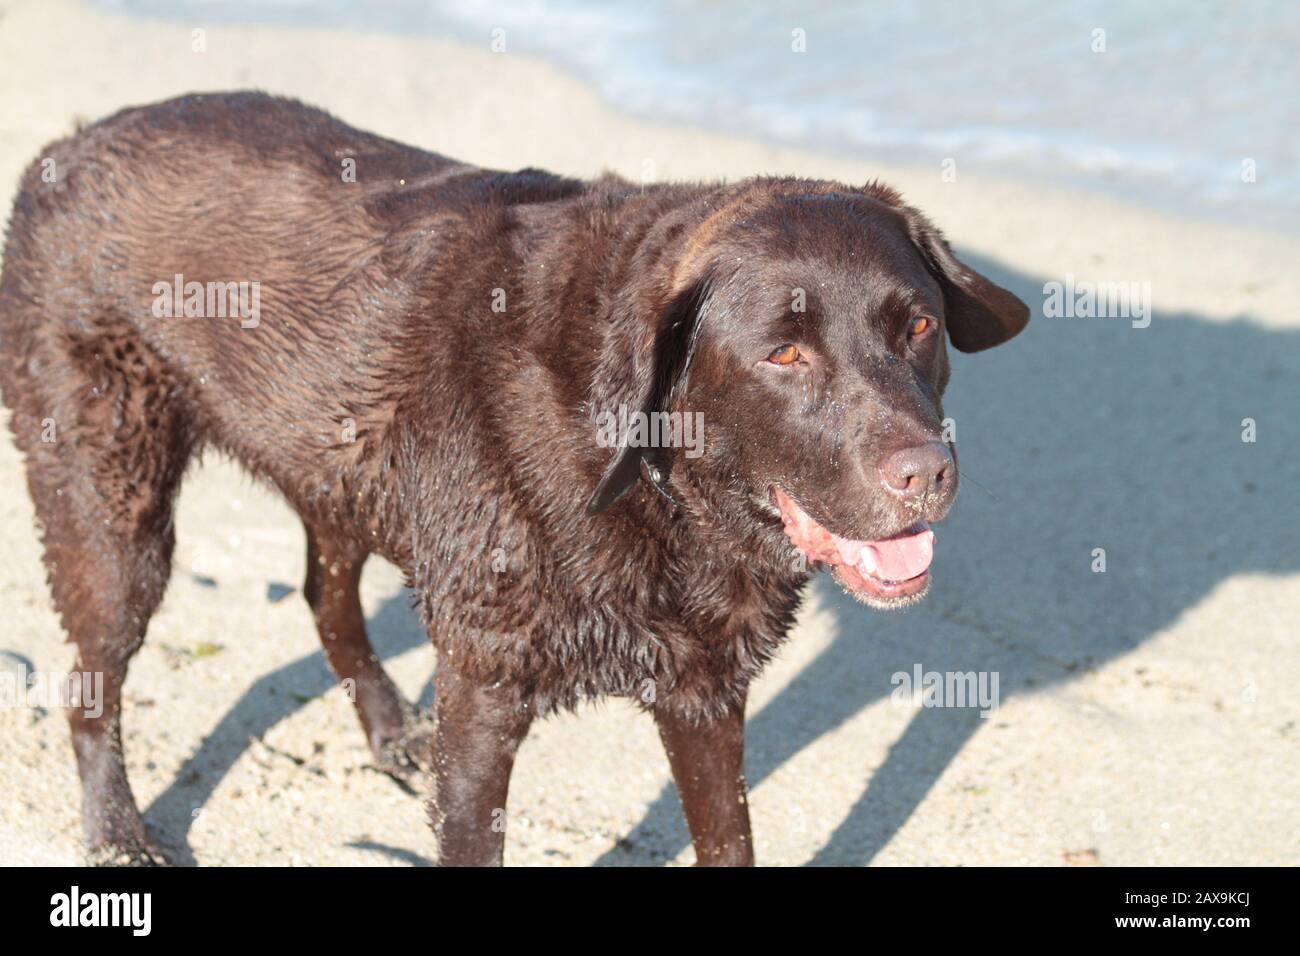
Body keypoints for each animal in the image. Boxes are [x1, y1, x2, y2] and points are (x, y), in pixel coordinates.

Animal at [0, 91, 1024, 868]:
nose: (928, 473)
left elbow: (728, 838)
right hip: (112, 505)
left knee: (326, 595)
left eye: (918, 326)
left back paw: (389, 731)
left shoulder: (702, 689)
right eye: (783, 352)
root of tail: (63, 149)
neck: (640, 466)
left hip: (339, 470)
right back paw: (117, 833)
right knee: (92, 682)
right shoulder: (487, 684)